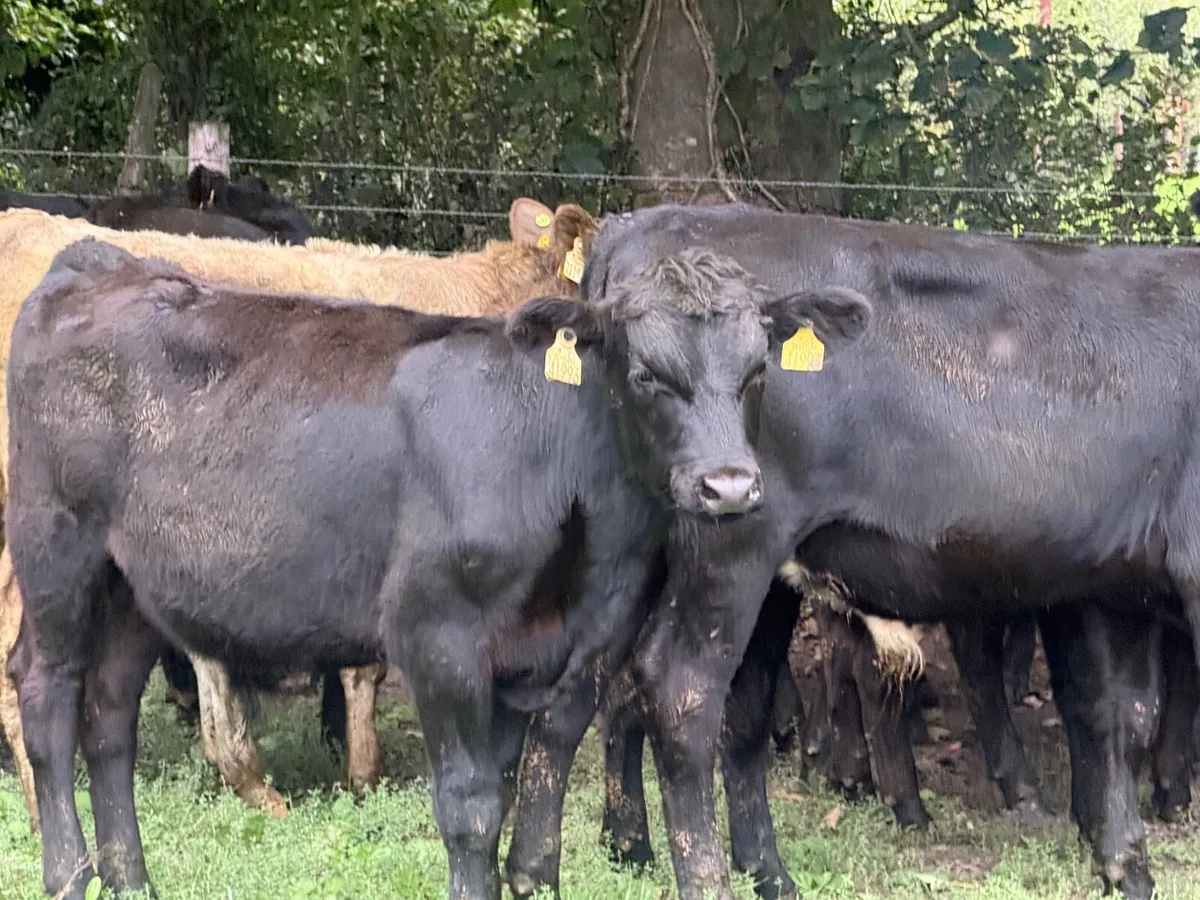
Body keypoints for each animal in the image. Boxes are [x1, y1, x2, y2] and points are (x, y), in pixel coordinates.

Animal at [503, 202, 1200, 900]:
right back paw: (706, 877)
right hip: (730, 546)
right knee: (680, 692)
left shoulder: (1115, 587)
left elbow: (1119, 716)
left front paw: (1125, 863)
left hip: (651, 558)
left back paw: (564, 868)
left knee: (604, 691)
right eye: (648, 372)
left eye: (758, 368)